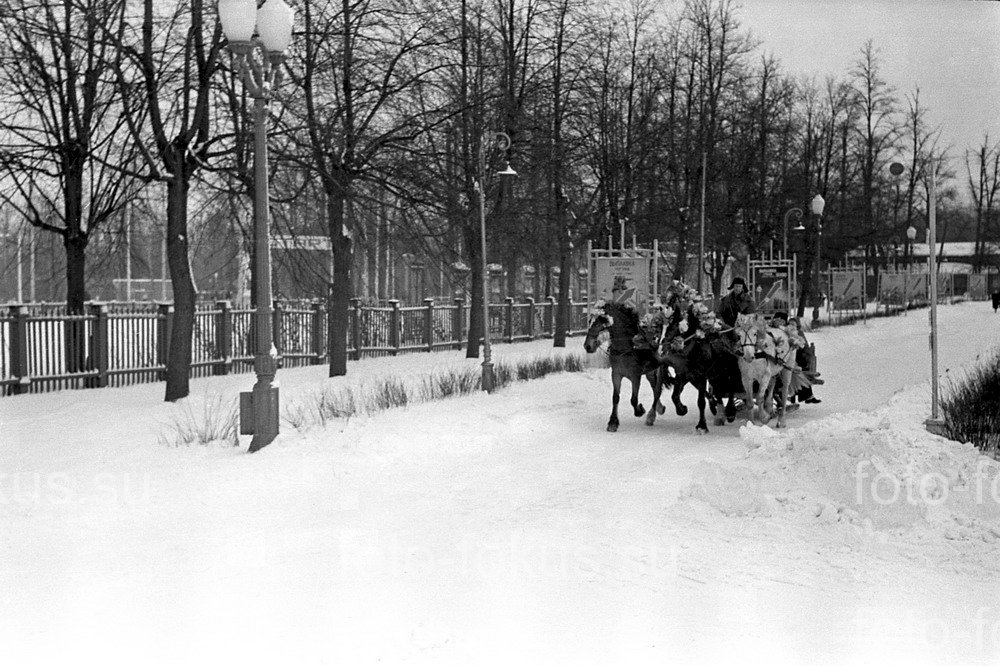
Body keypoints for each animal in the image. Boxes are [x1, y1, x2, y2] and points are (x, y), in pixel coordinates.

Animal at [584, 300, 660, 430]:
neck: (627, 347)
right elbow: (615, 398)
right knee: (654, 387)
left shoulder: (636, 376)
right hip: (650, 372)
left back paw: (652, 416)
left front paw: (640, 410)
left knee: (657, 389)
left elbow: (633, 400)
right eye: (590, 321)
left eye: (601, 322)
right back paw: (659, 408)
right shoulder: (616, 374)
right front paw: (613, 422)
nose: (587, 346)